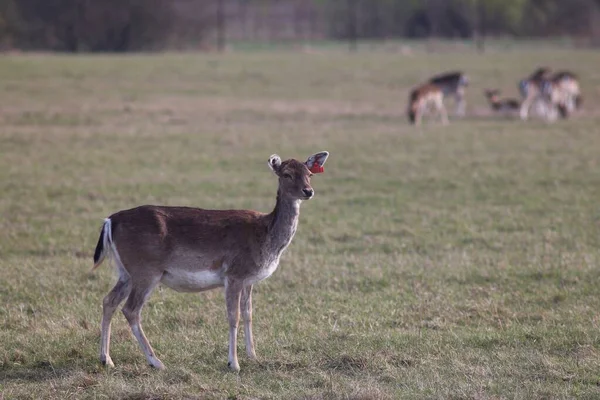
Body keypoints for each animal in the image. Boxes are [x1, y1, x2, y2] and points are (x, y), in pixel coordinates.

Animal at [91, 151, 330, 372]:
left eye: (309, 174)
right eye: (287, 174)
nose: (308, 191)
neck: (265, 236)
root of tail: (110, 221)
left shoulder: (249, 279)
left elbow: (248, 313)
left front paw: (253, 355)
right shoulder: (234, 274)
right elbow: (233, 316)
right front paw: (234, 363)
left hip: (125, 271)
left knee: (109, 301)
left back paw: (106, 359)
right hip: (146, 270)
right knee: (131, 309)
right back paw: (156, 362)